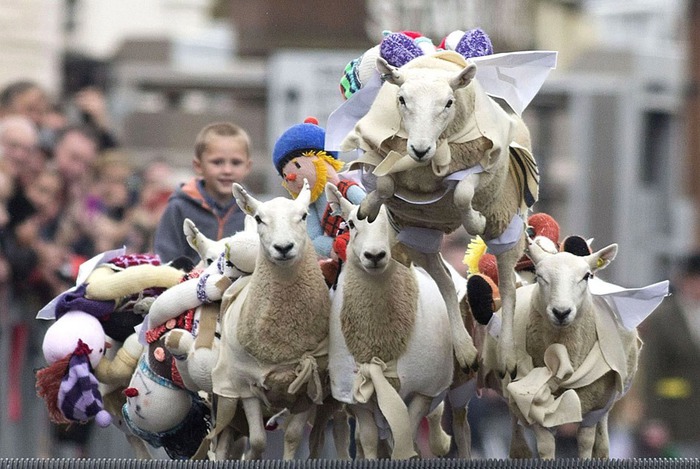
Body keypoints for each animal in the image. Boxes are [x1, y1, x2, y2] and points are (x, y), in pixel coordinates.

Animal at [211, 181, 336, 458]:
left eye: (303, 215)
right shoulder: (245, 385)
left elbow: (292, 436)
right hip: (227, 399)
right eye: (259, 218)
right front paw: (251, 457)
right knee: (223, 441)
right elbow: (258, 441)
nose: (284, 248)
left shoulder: (308, 387)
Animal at [324, 182, 452, 458]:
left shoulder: (422, 389)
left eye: (395, 226)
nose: (374, 255)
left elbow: (407, 433)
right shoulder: (355, 395)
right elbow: (369, 439)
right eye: (350, 224)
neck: (379, 344)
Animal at [342, 51, 540, 374]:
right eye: (402, 99)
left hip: (506, 223)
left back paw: (507, 356)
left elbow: (461, 194)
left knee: (508, 287)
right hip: (419, 235)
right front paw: (368, 207)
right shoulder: (384, 161)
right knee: (446, 281)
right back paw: (465, 351)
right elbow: (383, 184)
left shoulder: (480, 168)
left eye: (448, 102)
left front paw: (474, 221)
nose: (420, 149)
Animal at [484, 238, 644, 458]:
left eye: (586, 276)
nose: (561, 312)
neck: (561, 355)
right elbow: (545, 445)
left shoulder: (591, 407)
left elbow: (586, 442)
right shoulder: (533, 404)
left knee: (602, 438)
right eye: (540, 276)